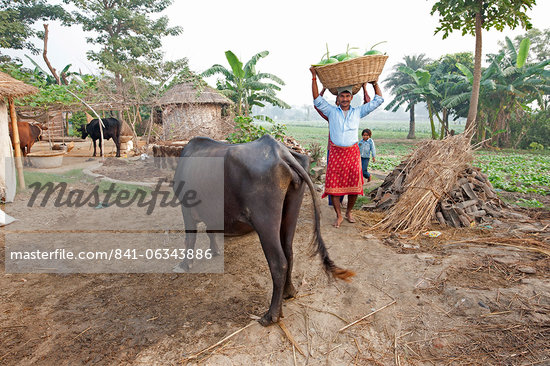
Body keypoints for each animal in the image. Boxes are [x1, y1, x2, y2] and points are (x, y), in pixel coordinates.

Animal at [172, 134, 356, 326]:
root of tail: (282, 152)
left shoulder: (186, 207)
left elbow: (190, 238)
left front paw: (185, 264)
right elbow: (210, 230)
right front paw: (214, 250)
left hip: (265, 221)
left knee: (278, 262)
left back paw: (271, 314)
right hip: (291, 209)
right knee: (289, 252)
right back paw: (288, 292)